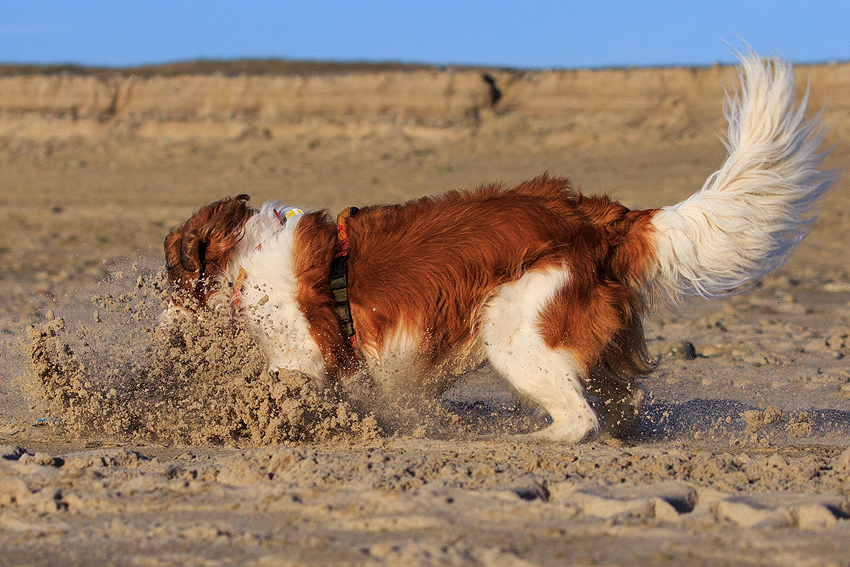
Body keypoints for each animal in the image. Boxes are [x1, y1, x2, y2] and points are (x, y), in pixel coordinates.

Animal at [162, 53, 832, 444]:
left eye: (168, 280)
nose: (162, 327)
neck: (246, 263)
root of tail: (598, 219)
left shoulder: (305, 354)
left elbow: (281, 381)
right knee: (619, 406)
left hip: (515, 333)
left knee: (580, 419)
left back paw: (529, 443)